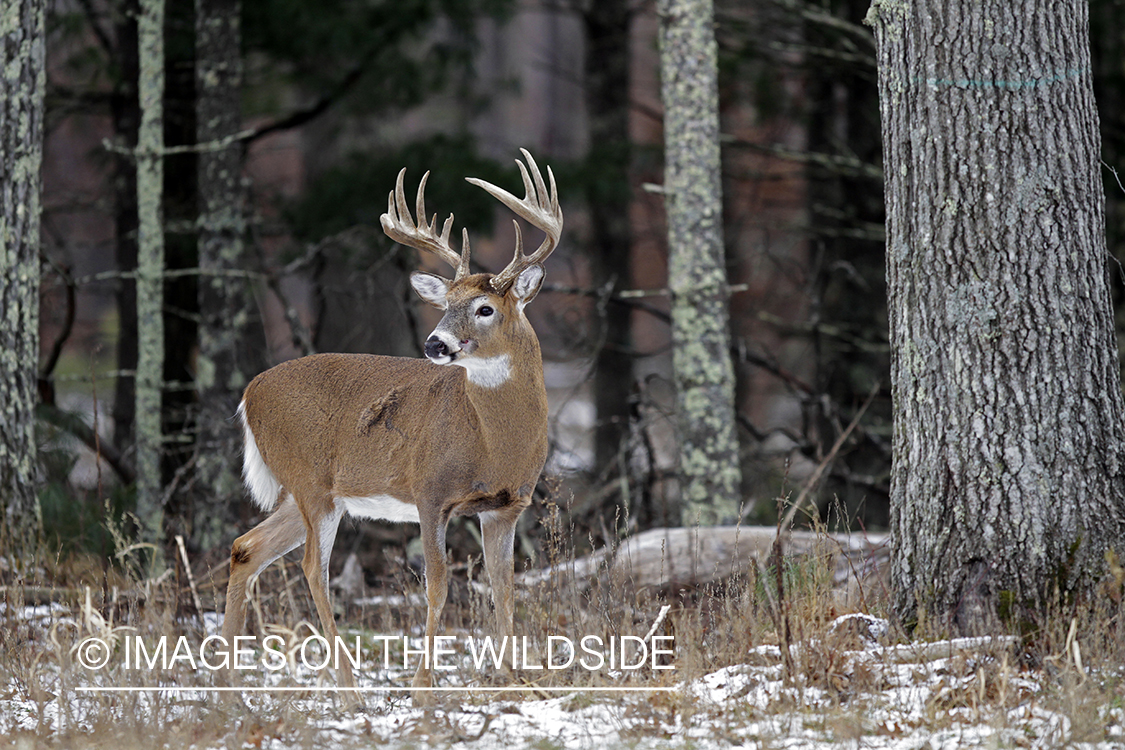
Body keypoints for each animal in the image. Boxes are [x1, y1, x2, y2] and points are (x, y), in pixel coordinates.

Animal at [221, 149, 562, 701]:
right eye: (445, 305)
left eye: (485, 308)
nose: (435, 343)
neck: (494, 443)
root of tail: (250, 391)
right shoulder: (430, 491)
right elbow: (439, 586)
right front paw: (423, 685)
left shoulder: (508, 506)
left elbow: (505, 588)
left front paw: (515, 680)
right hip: (310, 483)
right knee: (312, 569)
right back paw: (348, 687)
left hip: (309, 492)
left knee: (246, 548)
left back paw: (226, 680)